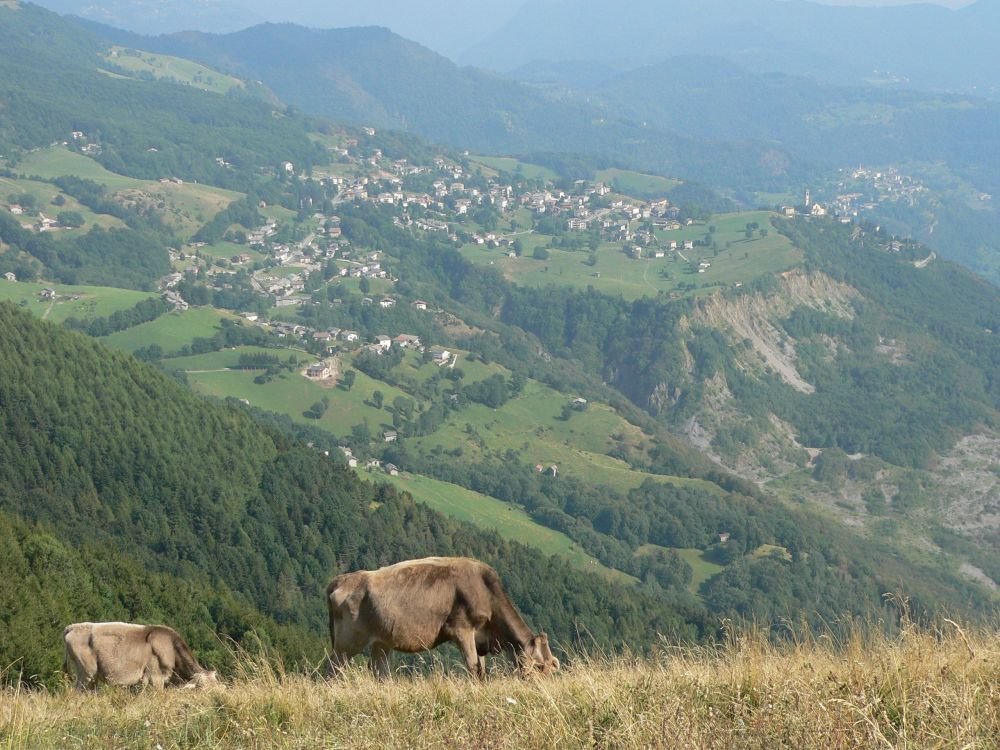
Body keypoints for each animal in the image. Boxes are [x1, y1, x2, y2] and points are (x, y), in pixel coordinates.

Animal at [328, 560, 564, 680]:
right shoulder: (462, 629)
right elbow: (473, 666)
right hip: (348, 642)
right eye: (540, 668)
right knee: (333, 667)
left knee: (380, 672)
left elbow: (482, 669)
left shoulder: (479, 639)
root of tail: (341, 579)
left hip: (381, 642)